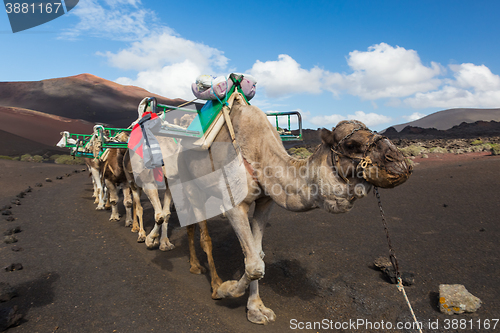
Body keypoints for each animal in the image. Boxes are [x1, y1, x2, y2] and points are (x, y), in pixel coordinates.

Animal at [152, 96, 410, 324]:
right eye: (351, 144)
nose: (400, 162)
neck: (260, 154)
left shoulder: (266, 202)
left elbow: (257, 255)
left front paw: (256, 309)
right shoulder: (236, 204)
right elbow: (254, 265)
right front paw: (227, 289)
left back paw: (195, 266)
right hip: (188, 179)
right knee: (202, 231)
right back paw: (212, 282)